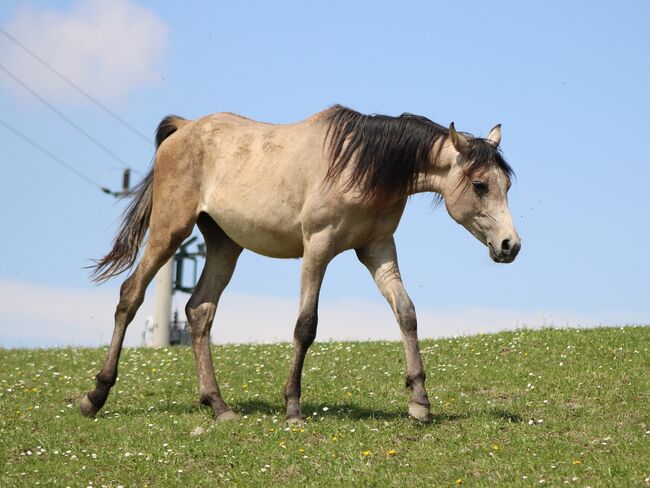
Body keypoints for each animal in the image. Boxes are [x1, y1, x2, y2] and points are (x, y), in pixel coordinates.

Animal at [81, 104, 520, 424]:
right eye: (479, 185)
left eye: (507, 184)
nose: (510, 245)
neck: (359, 165)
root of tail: (184, 128)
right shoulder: (318, 248)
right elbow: (305, 326)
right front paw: (293, 407)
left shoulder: (378, 250)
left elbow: (406, 313)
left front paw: (420, 402)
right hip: (168, 231)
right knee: (130, 296)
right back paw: (95, 396)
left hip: (224, 245)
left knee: (199, 311)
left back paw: (219, 406)